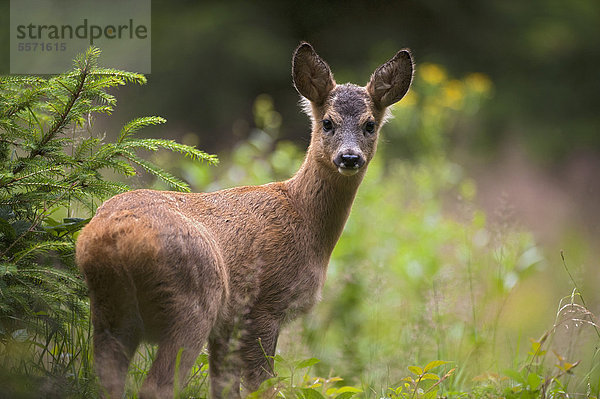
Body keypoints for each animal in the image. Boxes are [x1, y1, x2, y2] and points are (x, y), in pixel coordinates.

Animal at [76, 42, 412, 398]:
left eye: (370, 124)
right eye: (327, 123)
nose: (349, 157)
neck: (304, 218)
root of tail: (110, 239)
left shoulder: (227, 327)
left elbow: (224, 388)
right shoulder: (262, 306)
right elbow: (263, 386)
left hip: (111, 312)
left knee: (108, 379)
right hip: (192, 304)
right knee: (157, 385)